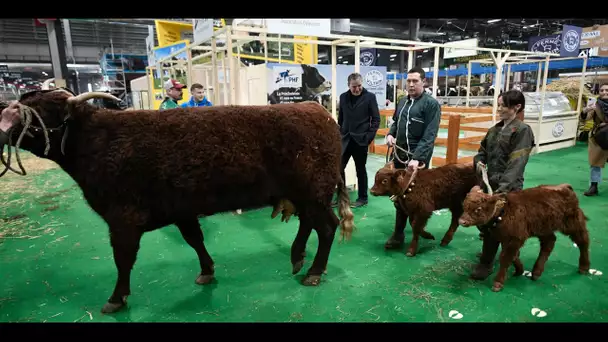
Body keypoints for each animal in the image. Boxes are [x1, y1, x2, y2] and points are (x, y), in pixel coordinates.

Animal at [458, 183, 592, 292]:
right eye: (463, 205)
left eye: (478, 209)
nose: (461, 221)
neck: (503, 212)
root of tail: (565, 187)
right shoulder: (506, 239)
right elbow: (513, 256)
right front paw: (519, 270)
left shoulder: (514, 239)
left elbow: (505, 258)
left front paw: (498, 283)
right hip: (543, 228)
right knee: (549, 242)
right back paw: (536, 272)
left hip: (572, 223)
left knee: (582, 240)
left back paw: (584, 267)